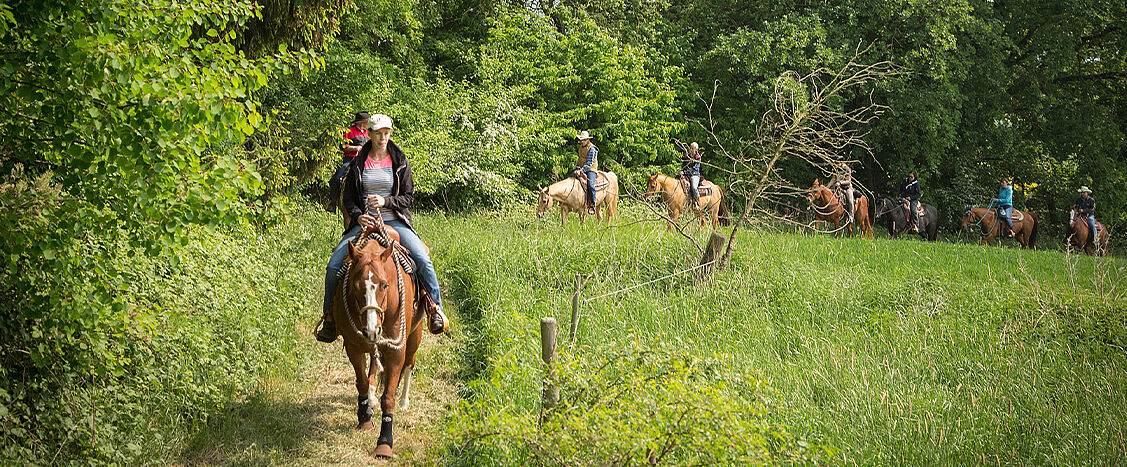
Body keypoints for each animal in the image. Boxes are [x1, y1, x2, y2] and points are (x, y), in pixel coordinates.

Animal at [332, 220, 425, 459]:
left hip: (414, 335)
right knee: (374, 365)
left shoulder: (396, 350)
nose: (372, 330)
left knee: (410, 363)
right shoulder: (354, 345)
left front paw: (384, 442)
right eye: (355, 286)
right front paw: (364, 416)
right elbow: (362, 381)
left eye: (384, 284)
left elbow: (388, 396)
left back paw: (404, 401)